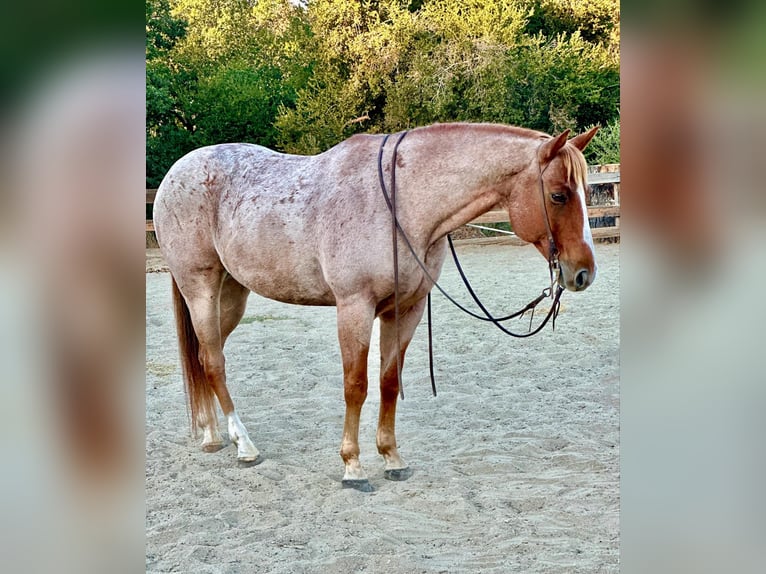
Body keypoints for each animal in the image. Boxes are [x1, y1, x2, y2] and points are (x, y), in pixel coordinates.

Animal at [153, 122, 599, 491]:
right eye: (558, 195)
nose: (584, 273)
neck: (402, 205)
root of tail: (175, 174)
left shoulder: (405, 310)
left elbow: (388, 383)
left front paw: (392, 458)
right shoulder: (355, 307)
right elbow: (356, 386)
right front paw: (353, 466)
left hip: (232, 295)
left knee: (202, 357)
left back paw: (212, 435)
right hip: (201, 289)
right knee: (214, 362)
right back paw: (244, 444)